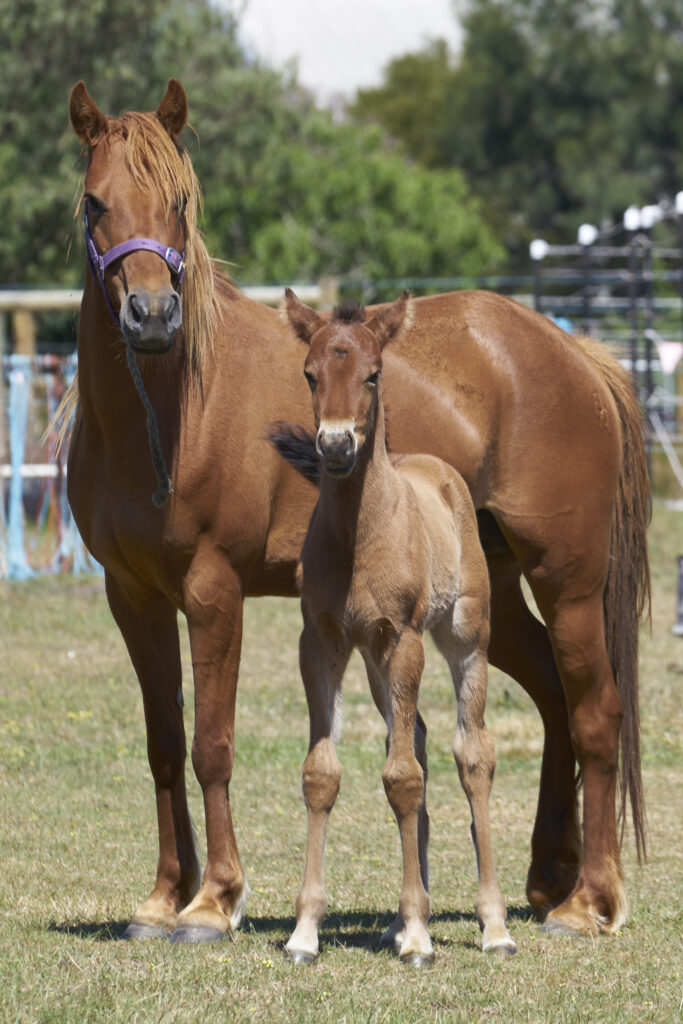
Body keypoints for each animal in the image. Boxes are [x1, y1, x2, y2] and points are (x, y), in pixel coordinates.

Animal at [270, 292, 511, 962]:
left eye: (374, 373)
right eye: (309, 373)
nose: (334, 446)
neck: (361, 532)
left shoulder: (403, 637)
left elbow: (403, 777)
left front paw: (421, 940)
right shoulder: (322, 639)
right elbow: (323, 773)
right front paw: (305, 932)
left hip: (462, 637)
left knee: (471, 754)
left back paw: (493, 925)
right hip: (377, 663)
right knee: (418, 738)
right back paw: (405, 919)